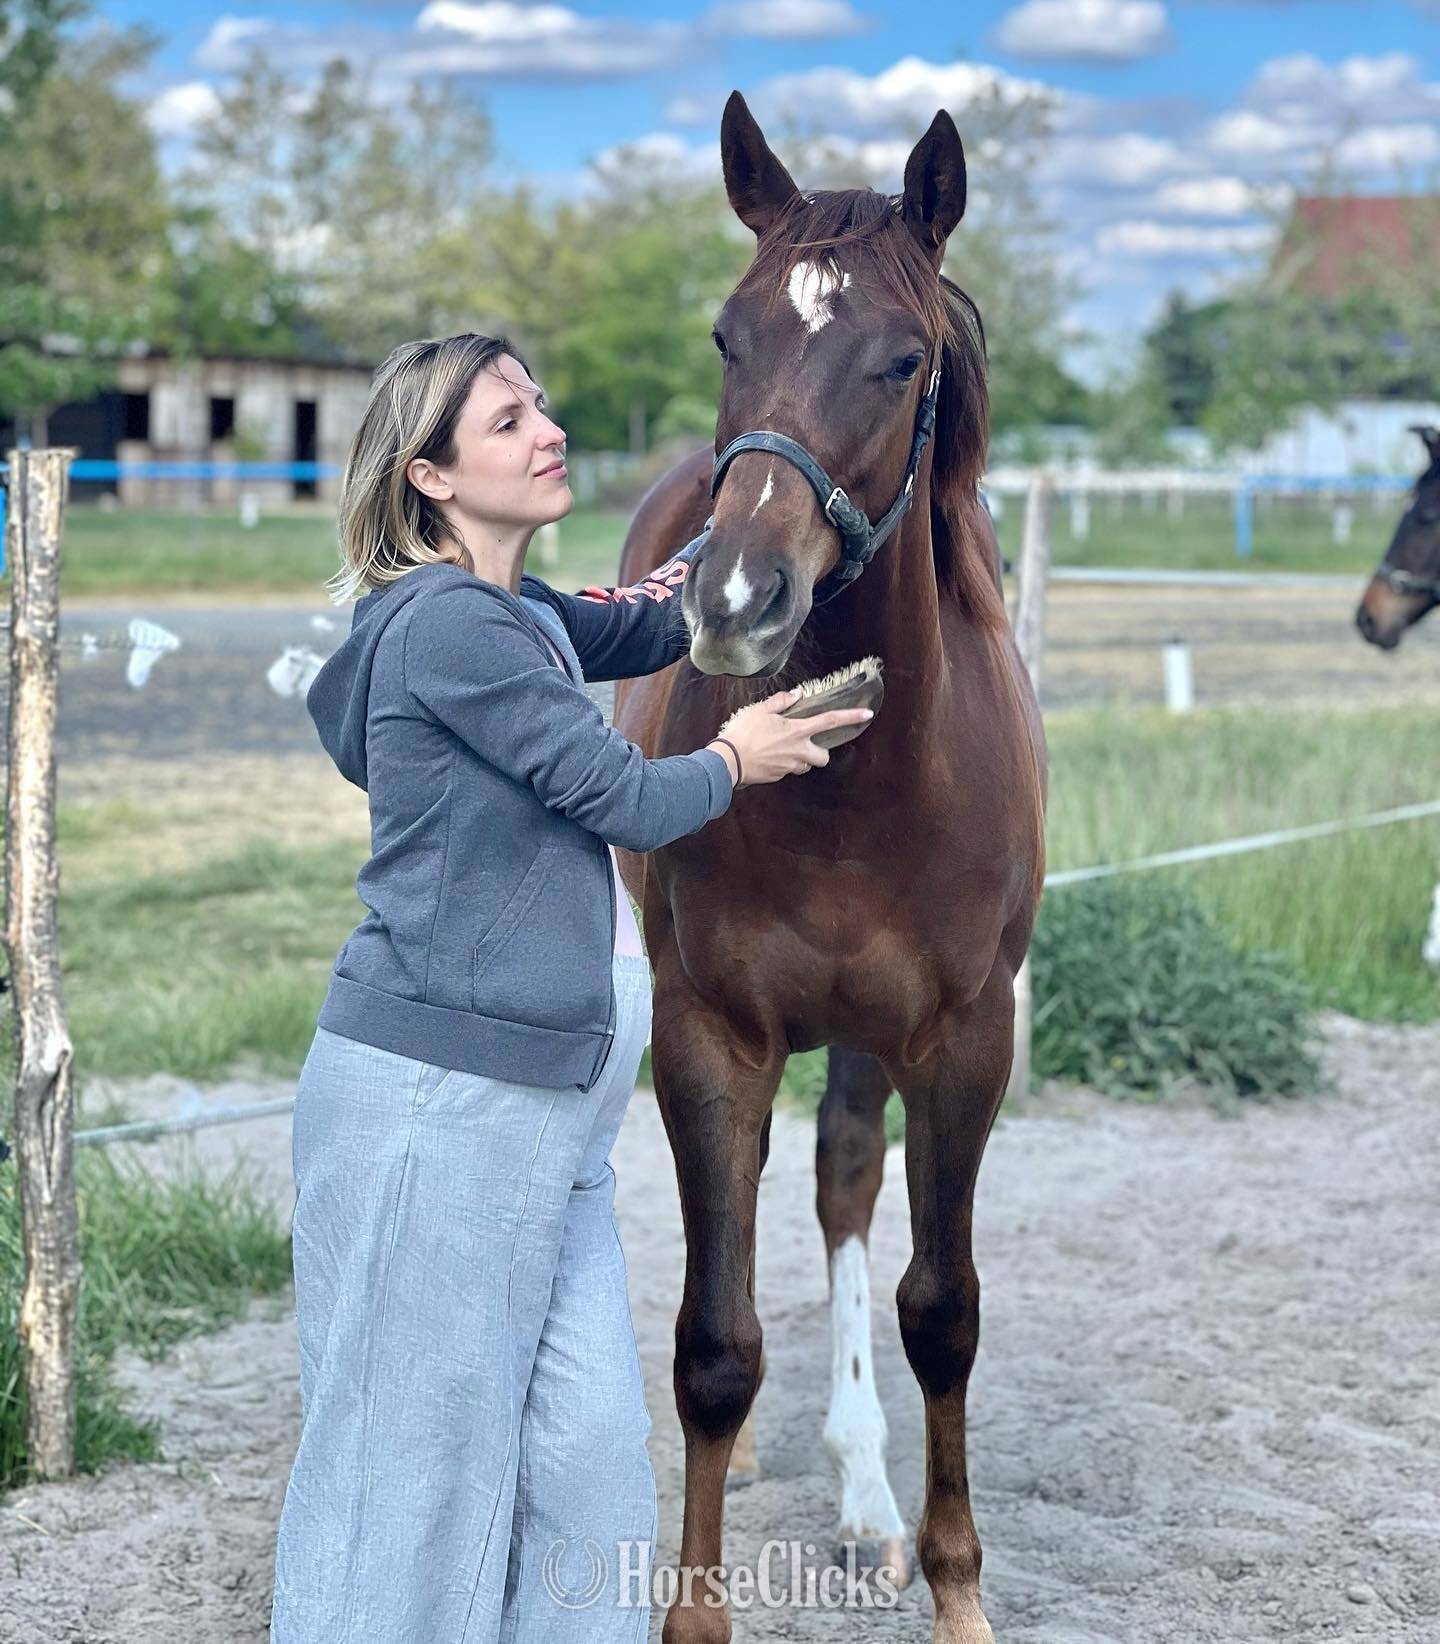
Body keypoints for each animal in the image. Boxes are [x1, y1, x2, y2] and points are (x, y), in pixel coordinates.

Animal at [611, 92, 1046, 1644]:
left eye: (903, 356)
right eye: (728, 336)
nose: (735, 597)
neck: (858, 789)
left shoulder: (968, 1041)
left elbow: (943, 1310)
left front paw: (957, 1586)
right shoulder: (708, 1038)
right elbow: (715, 1346)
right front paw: (693, 1615)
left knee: (851, 1190)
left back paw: (868, 1504)